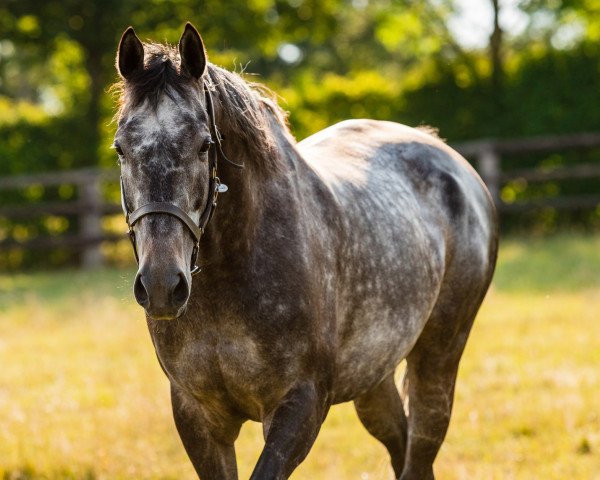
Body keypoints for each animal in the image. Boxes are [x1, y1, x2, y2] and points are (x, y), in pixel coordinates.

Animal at [111, 21, 496, 480]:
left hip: (438, 358)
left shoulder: (300, 405)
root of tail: (455, 164)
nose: (161, 286)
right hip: (374, 375)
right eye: (120, 148)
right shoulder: (197, 415)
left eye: (204, 145)